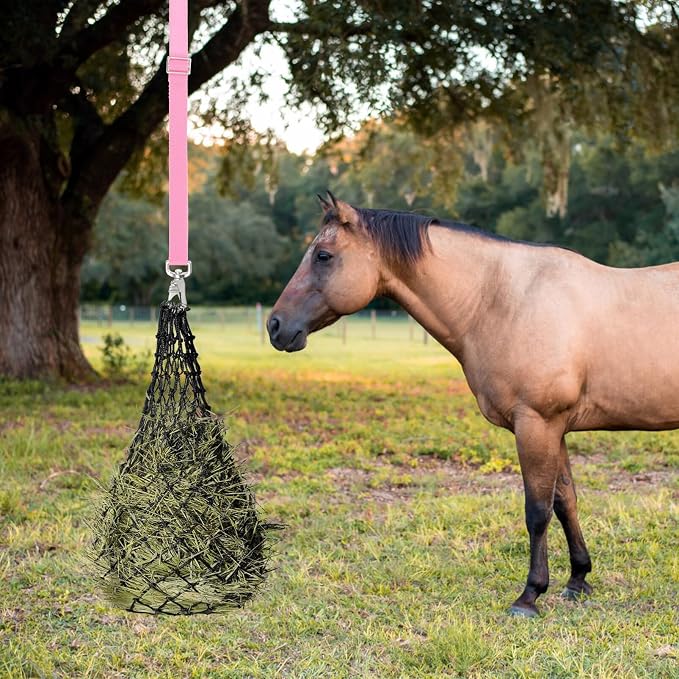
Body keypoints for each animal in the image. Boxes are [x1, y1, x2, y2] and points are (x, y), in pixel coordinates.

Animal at [267, 191, 679, 617]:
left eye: (324, 256)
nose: (276, 326)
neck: (502, 302)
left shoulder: (536, 424)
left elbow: (538, 511)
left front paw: (530, 595)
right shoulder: (555, 428)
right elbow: (566, 502)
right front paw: (578, 579)